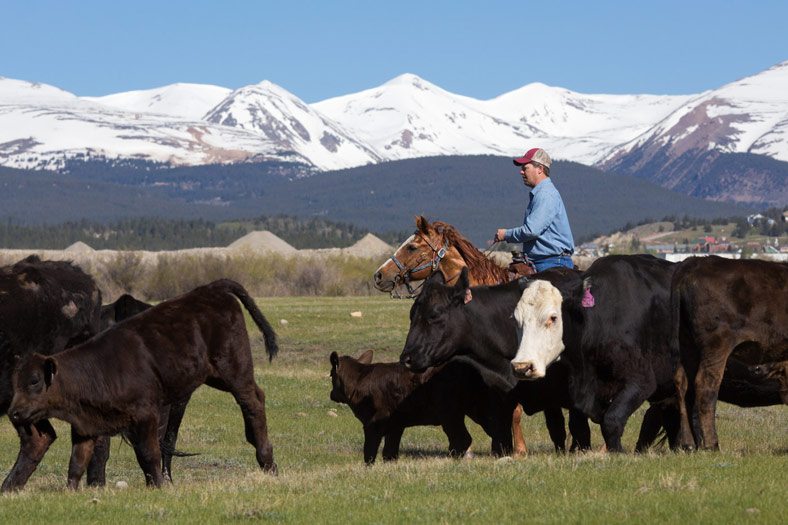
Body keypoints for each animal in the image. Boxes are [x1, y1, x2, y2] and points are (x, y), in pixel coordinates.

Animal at [330, 350, 516, 460]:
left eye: (331, 375)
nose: (332, 394)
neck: (357, 384)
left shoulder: (373, 422)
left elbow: (369, 451)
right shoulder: (396, 425)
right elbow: (390, 451)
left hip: (449, 412)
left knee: (463, 438)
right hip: (478, 408)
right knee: (498, 430)